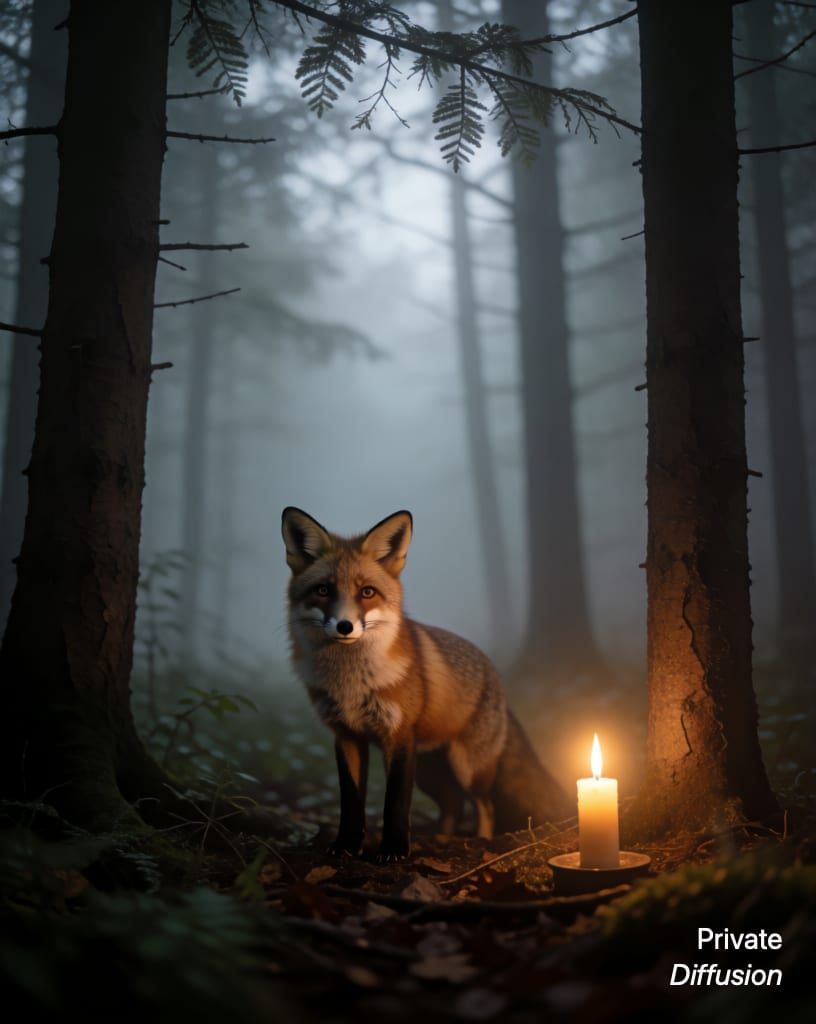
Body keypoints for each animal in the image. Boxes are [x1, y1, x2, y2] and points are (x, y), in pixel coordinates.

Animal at [282, 507, 571, 862]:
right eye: (323, 590)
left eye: (367, 592)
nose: (345, 626)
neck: (350, 683)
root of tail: (496, 675)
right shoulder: (346, 736)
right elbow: (350, 803)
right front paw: (346, 846)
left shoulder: (399, 738)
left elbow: (395, 803)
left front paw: (393, 850)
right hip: (430, 773)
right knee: (453, 805)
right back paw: (440, 838)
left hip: (466, 767)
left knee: (483, 804)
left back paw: (479, 841)